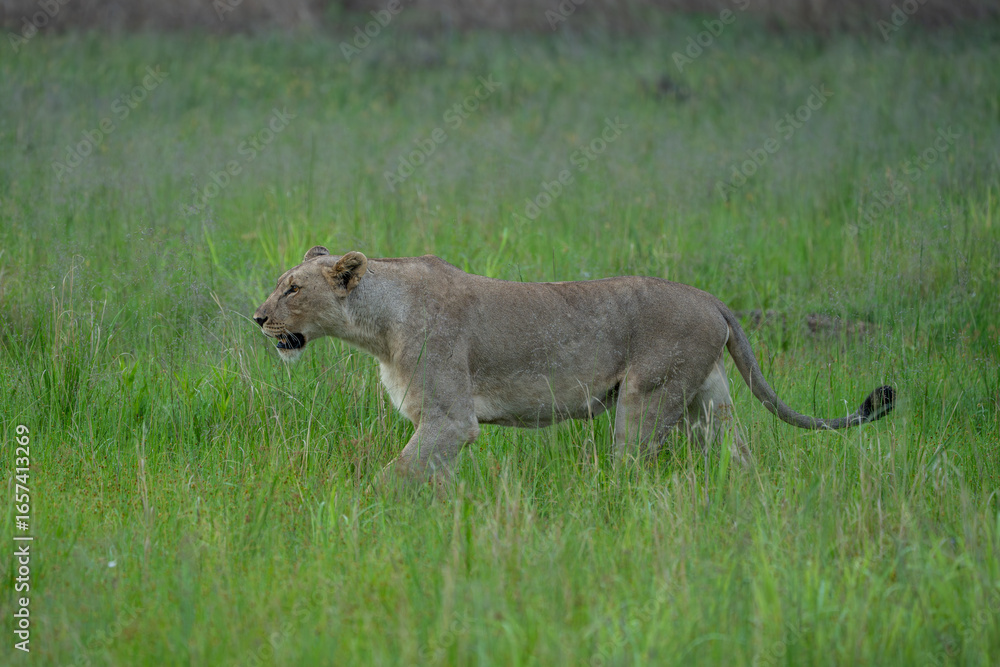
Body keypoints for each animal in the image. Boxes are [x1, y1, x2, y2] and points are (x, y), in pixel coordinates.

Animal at [254, 246, 895, 482]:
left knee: (632, 465)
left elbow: (396, 474)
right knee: (739, 455)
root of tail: (709, 297)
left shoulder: (451, 419)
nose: (258, 318)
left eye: (292, 288)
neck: (378, 326)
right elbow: (430, 479)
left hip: (646, 400)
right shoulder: (440, 426)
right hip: (707, 401)